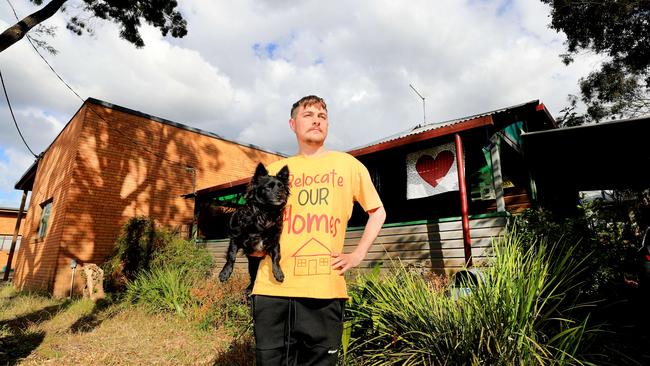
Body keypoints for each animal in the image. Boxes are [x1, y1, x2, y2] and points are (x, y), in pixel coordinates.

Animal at [218, 163, 288, 292]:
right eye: (268, 187)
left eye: (282, 188)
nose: (281, 195)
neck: (265, 213)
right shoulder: (235, 238)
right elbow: (231, 255)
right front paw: (225, 273)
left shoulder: (274, 241)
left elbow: (276, 257)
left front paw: (278, 273)